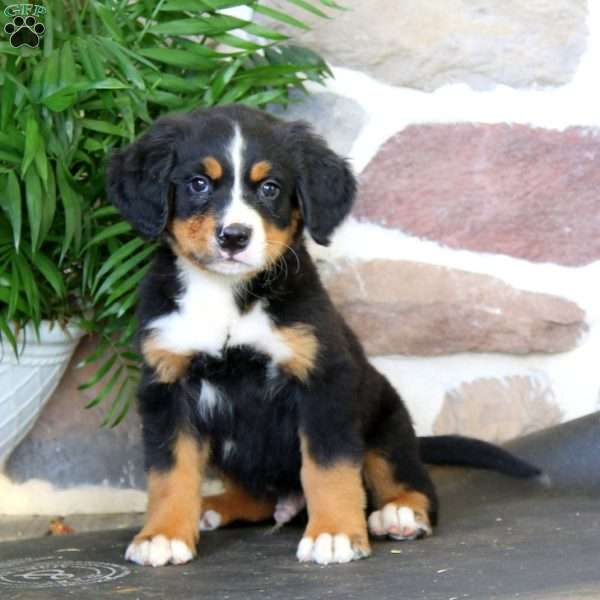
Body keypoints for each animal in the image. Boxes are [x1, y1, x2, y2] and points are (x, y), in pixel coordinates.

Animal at [106, 103, 540, 568]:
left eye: (271, 188)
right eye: (198, 183)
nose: (234, 237)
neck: (228, 298)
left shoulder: (322, 381)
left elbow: (327, 466)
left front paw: (333, 533)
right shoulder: (167, 386)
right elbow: (170, 472)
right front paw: (164, 535)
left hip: (386, 423)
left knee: (412, 483)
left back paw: (399, 514)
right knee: (257, 496)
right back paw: (215, 507)